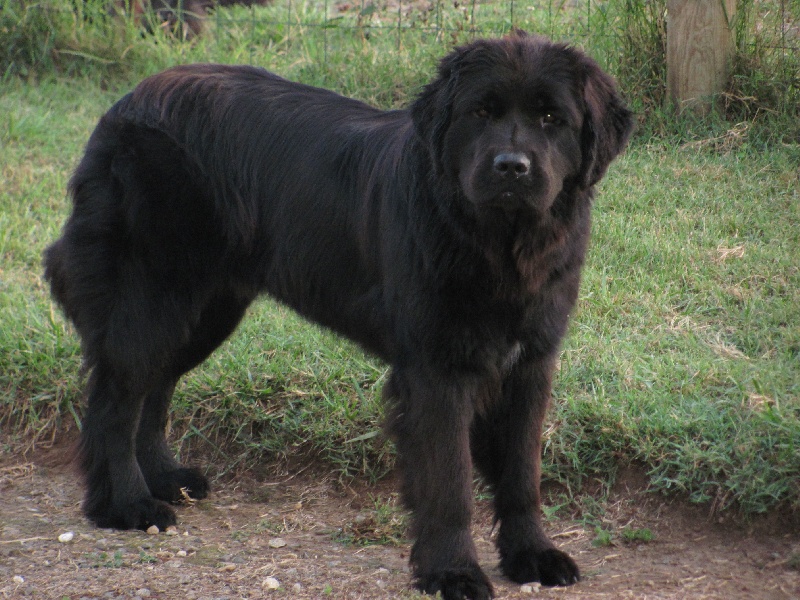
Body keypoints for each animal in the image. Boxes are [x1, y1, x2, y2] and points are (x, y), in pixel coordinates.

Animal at [45, 32, 632, 600]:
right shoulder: (436, 370)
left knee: (156, 386)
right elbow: (449, 483)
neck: (498, 245)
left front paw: (532, 555)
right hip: (152, 296)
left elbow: (521, 474)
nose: (511, 167)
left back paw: (165, 478)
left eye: (551, 118)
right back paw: (127, 505)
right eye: (481, 113)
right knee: (117, 399)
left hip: (205, 310)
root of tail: (126, 103)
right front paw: (452, 572)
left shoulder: (531, 361)